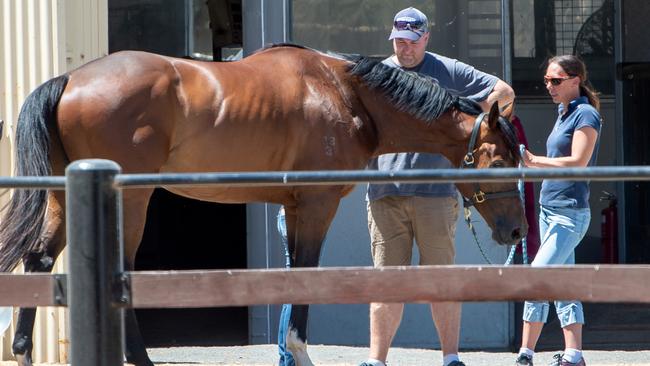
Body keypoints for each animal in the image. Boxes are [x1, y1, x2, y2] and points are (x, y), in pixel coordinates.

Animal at [0, 43, 528, 366]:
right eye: (501, 160)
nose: (518, 232)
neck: (345, 94)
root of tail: (70, 79)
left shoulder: (293, 207)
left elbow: (289, 276)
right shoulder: (316, 205)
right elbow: (307, 277)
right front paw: (302, 352)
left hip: (65, 195)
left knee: (40, 258)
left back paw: (23, 348)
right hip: (130, 197)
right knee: (118, 268)